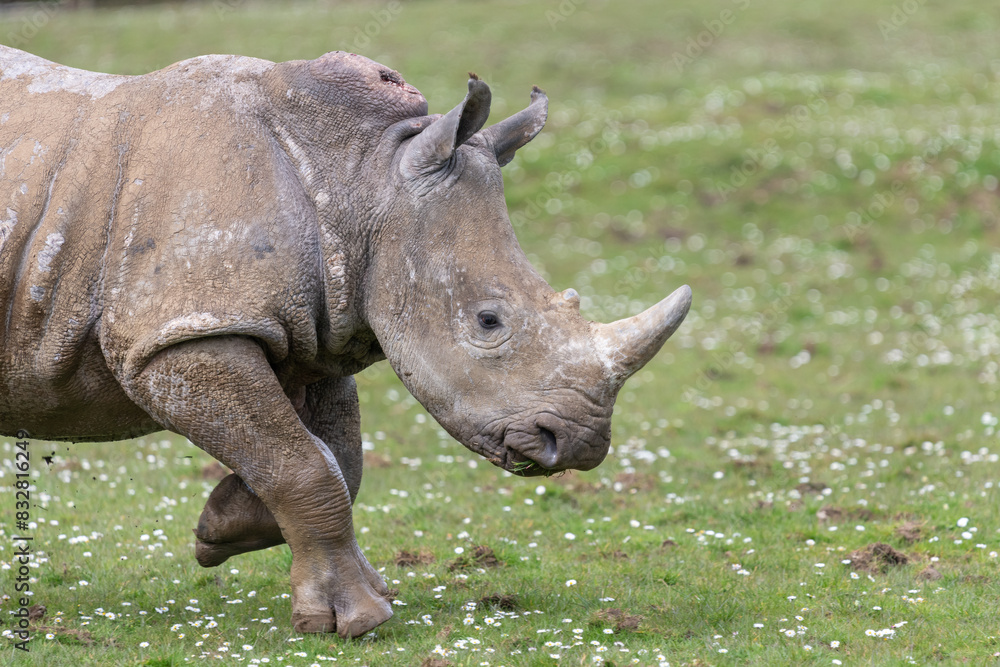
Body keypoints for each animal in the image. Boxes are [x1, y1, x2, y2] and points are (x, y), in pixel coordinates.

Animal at [0, 46, 691, 637]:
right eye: (489, 322)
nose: (577, 445)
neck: (360, 176)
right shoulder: (179, 335)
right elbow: (306, 465)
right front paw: (353, 621)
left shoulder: (318, 328)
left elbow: (336, 458)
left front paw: (221, 528)